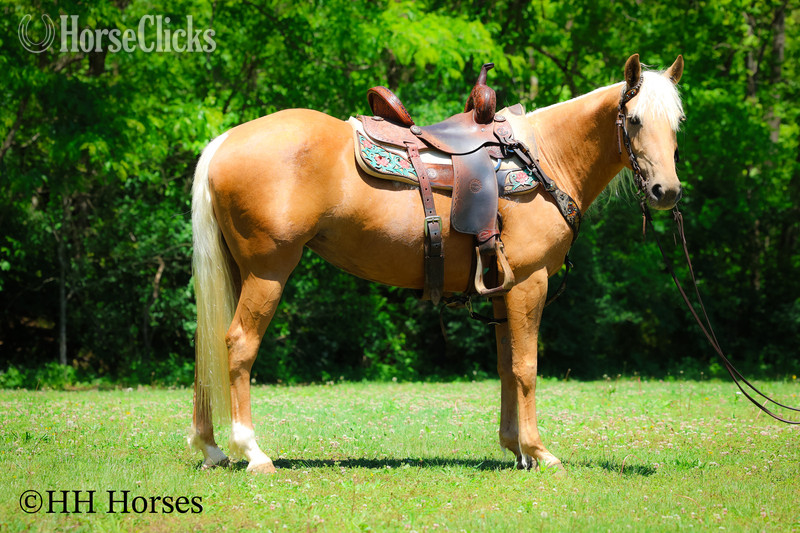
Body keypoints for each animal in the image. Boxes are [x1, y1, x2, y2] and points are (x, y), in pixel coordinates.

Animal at [188, 54, 685, 474]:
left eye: (677, 122)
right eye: (635, 120)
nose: (667, 191)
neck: (545, 158)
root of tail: (225, 140)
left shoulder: (503, 289)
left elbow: (506, 366)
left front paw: (516, 448)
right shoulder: (530, 282)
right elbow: (526, 367)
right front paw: (539, 452)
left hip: (238, 271)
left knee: (207, 342)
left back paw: (210, 447)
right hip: (268, 271)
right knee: (238, 344)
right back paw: (252, 452)